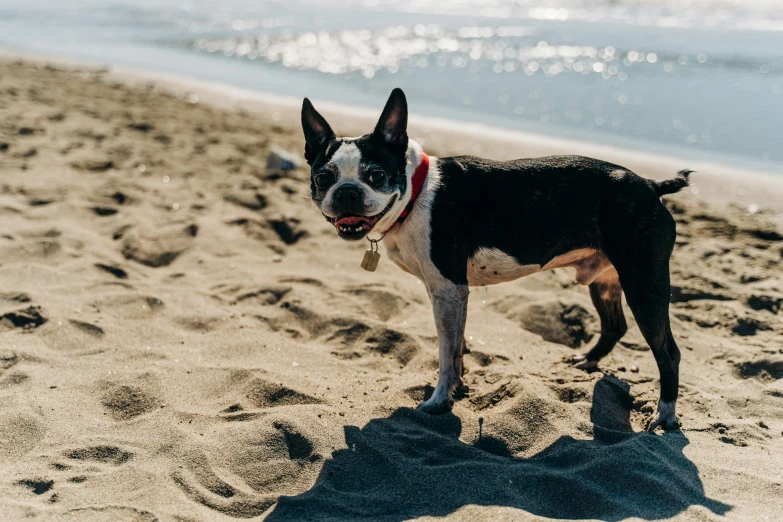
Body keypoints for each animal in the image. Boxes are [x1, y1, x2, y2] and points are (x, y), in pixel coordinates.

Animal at [302, 87, 692, 428]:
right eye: (322, 178)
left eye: (376, 175)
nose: (347, 192)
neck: (415, 193)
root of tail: (650, 185)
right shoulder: (449, 293)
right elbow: (457, 347)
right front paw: (457, 388)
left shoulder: (448, 289)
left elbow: (446, 353)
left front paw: (439, 400)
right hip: (606, 280)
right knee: (615, 326)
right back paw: (588, 360)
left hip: (644, 284)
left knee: (668, 352)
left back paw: (665, 414)